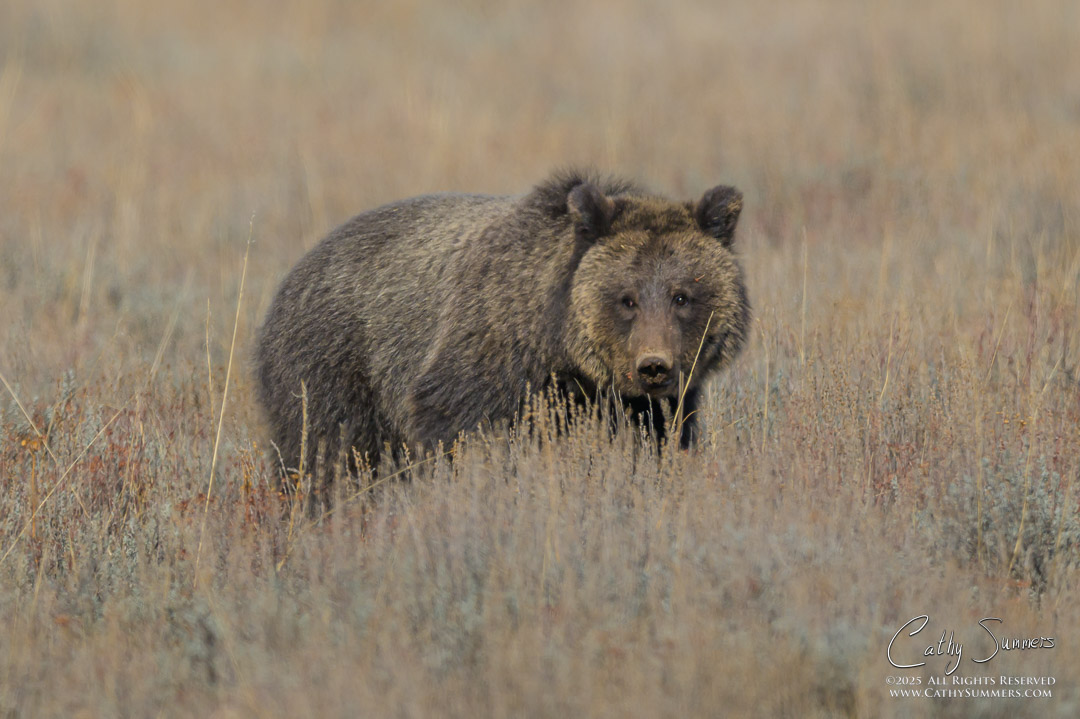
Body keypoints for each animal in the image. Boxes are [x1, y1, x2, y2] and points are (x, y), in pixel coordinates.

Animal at [254, 169, 750, 478]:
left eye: (682, 295)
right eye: (626, 298)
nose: (653, 367)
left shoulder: (648, 403)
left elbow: (656, 437)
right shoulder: (484, 362)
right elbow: (457, 429)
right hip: (334, 365)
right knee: (328, 452)